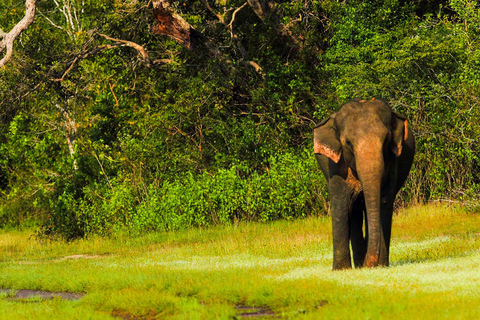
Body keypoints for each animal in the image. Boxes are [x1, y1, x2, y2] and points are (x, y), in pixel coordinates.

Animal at [314, 98, 414, 270]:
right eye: (348, 142)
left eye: (387, 138)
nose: (369, 264)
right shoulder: (335, 166)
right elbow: (341, 202)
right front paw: (340, 270)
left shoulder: (392, 161)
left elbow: (384, 201)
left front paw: (380, 266)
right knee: (354, 210)